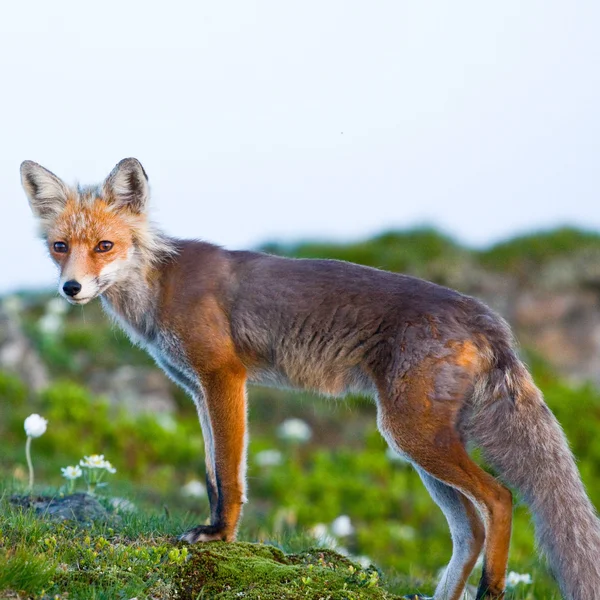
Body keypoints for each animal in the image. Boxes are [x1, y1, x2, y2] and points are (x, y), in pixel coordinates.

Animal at [21, 158, 600, 600]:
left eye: (103, 246)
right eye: (59, 246)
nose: (71, 288)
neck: (159, 286)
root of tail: (487, 316)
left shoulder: (224, 377)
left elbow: (229, 476)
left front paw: (222, 538)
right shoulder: (196, 389)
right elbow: (210, 474)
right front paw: (211, 529)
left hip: (413, 435)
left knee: (500, 499)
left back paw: (491, 589)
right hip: (419, 444)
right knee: (471, 529)